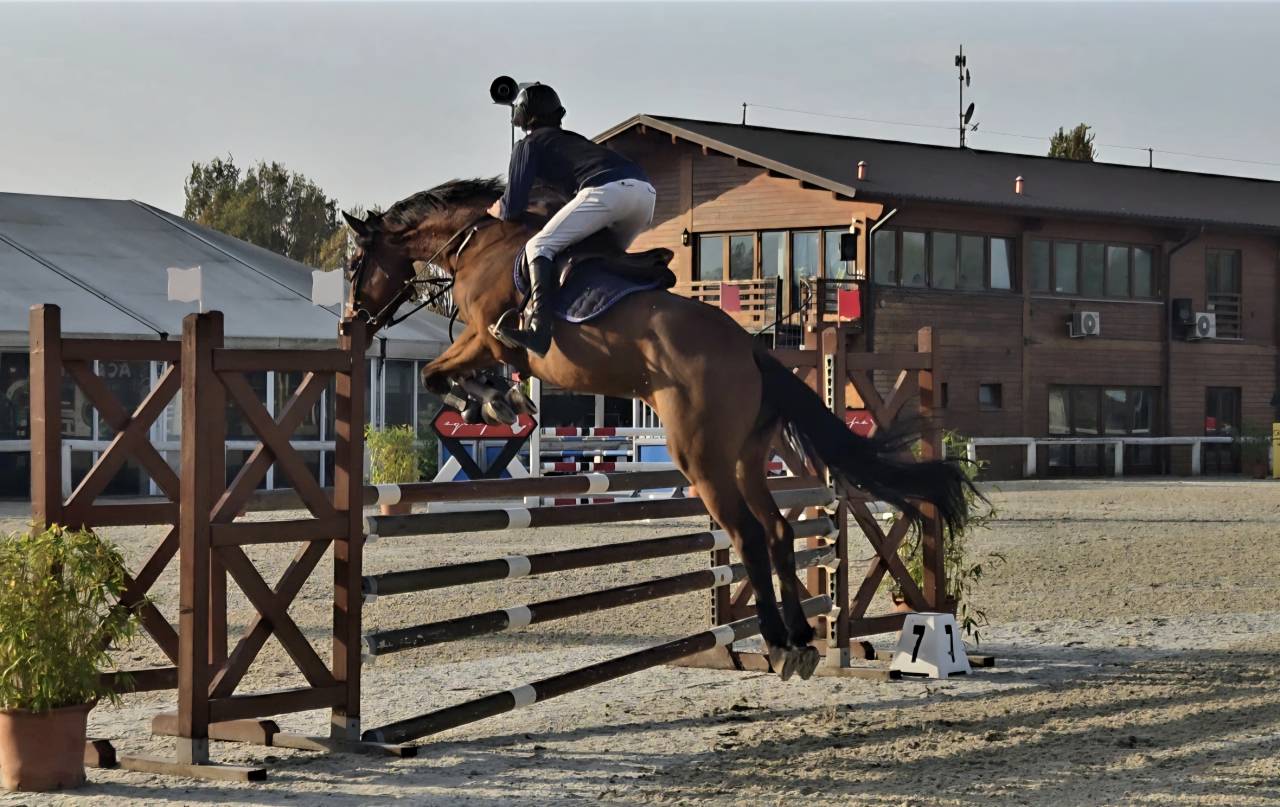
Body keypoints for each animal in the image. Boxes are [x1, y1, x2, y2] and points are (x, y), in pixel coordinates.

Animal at [344, 177, 973, 680]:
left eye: (355, 264)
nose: (354, 320)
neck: (480, 243)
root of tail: (751, 349)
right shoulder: (485, 341)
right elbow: (444, 373)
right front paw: (494, 400)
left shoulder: (487, 334)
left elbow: (437, 372)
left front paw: (492, 401)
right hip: (744, 458)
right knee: (776, 530)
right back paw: (800, 639)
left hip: (700, 457)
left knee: (748, 533)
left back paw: (776, 640)